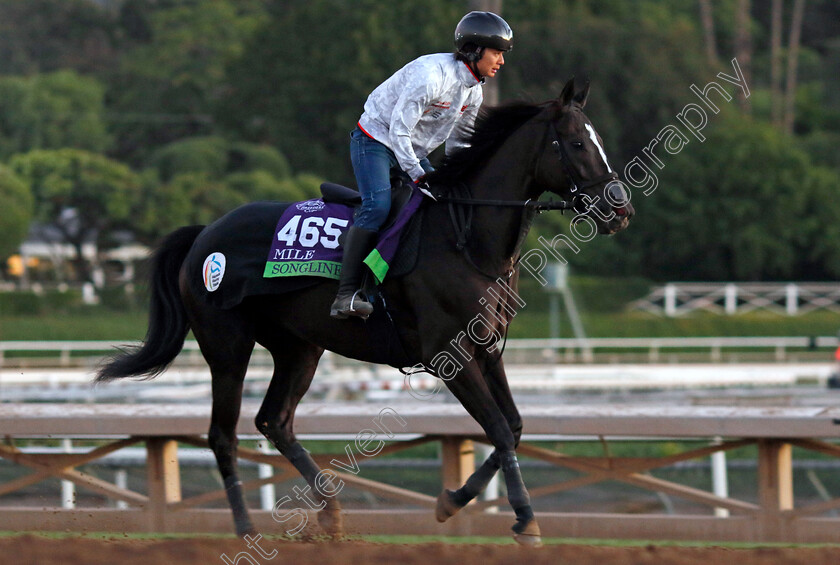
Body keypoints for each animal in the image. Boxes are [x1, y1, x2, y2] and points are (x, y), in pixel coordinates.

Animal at [97, 77, 636, 544]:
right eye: (576, 142)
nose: (620, 208)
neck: (466, 237)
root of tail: (203, 235)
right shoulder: (450, 353)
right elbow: (501, 430)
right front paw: (524, 519)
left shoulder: (486, 348)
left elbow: (515, 428)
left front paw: (453, 501)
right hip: (227, 346)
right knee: (222, 435)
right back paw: (246, 528)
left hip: (299, 348)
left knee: (275, 421)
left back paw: (330, 512)